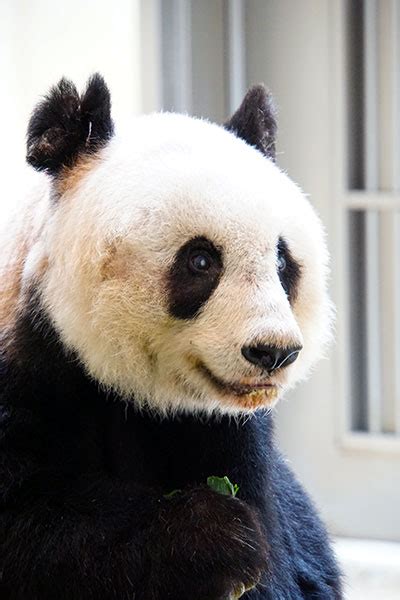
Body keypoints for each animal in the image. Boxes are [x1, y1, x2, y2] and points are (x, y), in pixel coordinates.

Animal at [0, 75, 340, 600]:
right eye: (201, 260)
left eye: (283, 261)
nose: (273, 352)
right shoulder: (27, 366)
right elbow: (35, 529)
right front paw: (214, 538)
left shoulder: (233, 437)